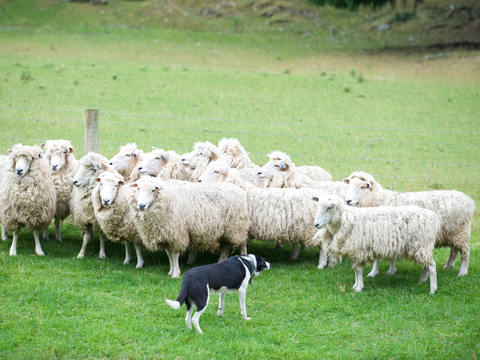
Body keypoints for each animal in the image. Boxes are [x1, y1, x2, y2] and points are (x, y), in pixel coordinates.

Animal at [344, 171, 474, 276]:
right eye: (349, 185)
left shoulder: (380, 235)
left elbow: (377, 259)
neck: (380, 199)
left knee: (465, 251)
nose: (347, 201)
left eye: (362, 187)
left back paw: (463, 272)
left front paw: (373, 273)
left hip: (460, 231)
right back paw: (448, 265)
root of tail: (469, 200)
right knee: (455, 250)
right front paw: (391, 270)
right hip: (452, 232)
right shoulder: (389, 236)